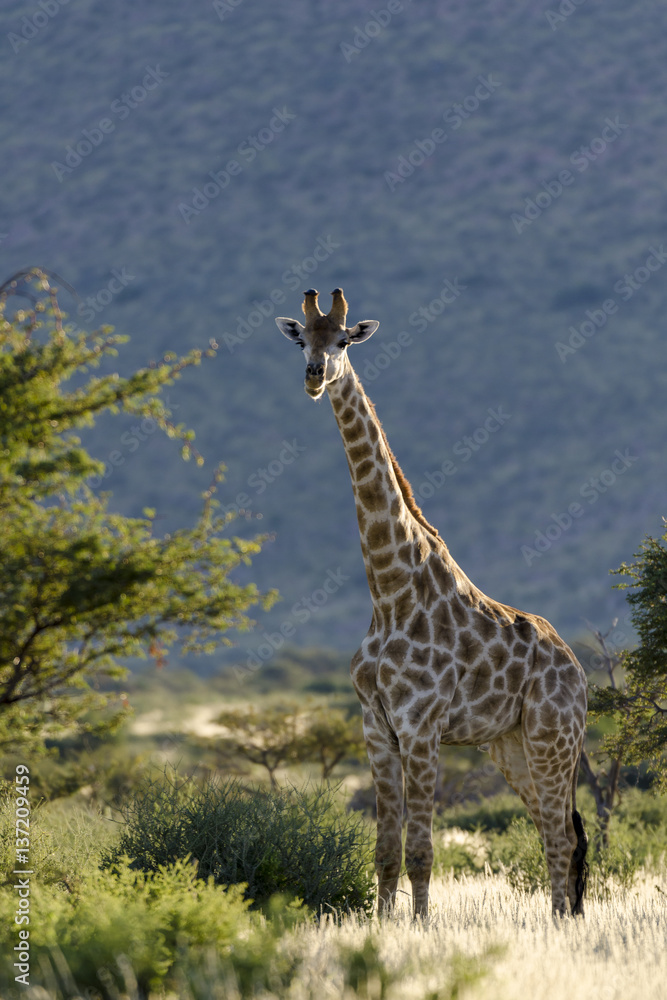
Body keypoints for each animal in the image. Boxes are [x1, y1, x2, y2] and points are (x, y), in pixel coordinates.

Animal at [276, 288, 589, 919]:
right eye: (302, 341)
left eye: (342, 339)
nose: (315, 376)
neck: (388, 589)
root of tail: (580, 673)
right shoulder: (375, 727)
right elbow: (385, 852)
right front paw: (382, 927)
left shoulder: (421, 726)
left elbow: (421, 850)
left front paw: (420, 929)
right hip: (511, 746)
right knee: (553, 831)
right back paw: (557, 922)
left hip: (554, 738)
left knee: (563, 836)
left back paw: (561, 925)